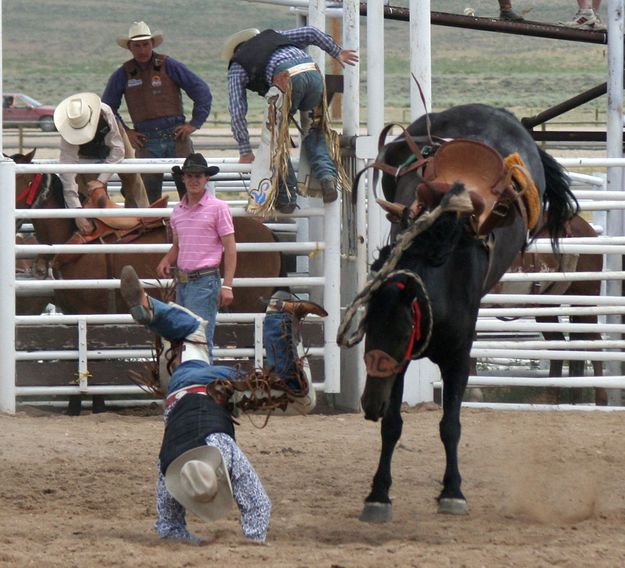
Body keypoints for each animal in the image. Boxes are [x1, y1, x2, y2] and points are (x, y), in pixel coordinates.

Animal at [338, 104, 576, 520]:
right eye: (367, 328)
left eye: (402, 330)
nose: (368, 404)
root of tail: (495, 111)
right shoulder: (400, 363)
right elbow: (393, 425)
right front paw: (378, 494)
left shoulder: (458, 358)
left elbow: (450, 424)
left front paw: (453, 491)